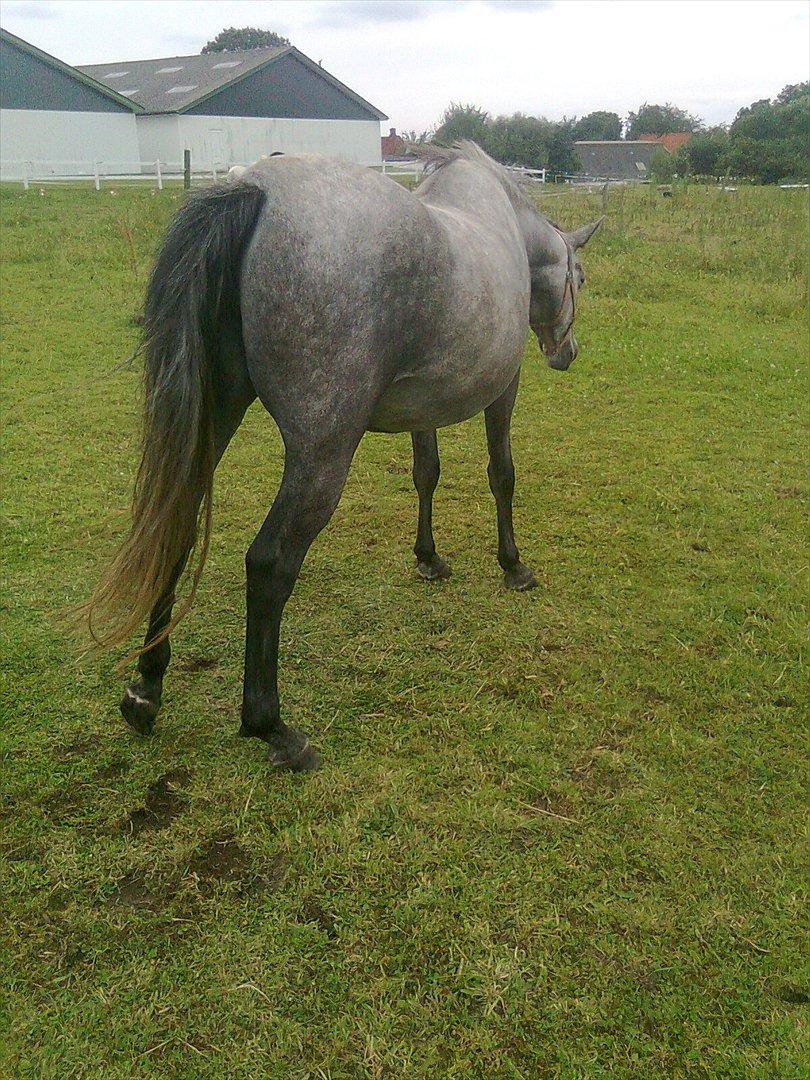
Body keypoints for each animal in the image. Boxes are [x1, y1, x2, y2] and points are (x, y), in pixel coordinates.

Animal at [87, 141, 604, 768]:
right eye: (579, 276)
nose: (565, 352)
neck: (499, 221)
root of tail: (255, 189)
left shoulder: (422, 409)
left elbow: (426, 473)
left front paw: (429, 558)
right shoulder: (503, 389)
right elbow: (501, 474)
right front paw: (513, 566)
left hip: (214, 421)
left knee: (177, 528)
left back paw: (147, 688)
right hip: (321, 456)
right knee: (269, 563)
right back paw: (272, 726)